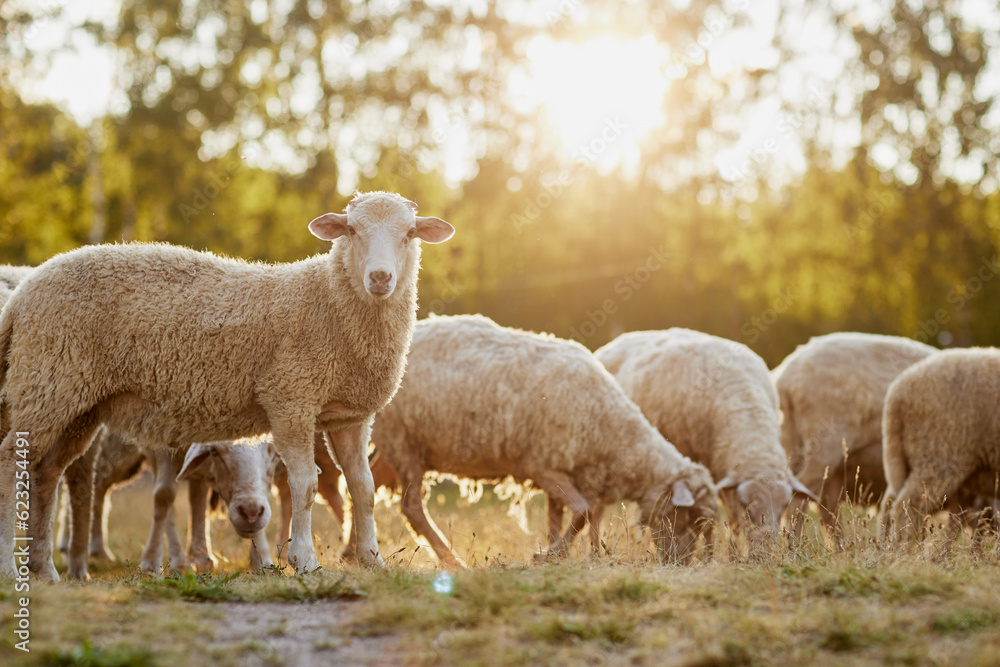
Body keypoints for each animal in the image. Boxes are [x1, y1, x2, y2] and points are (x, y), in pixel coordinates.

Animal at [0, 191, 454, 581]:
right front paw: (305, 561)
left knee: (46, 473)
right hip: (47, 380)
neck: (327, 302)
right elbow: (305, 484)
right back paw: (11, 567)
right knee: (12, 460)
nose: (380, 278)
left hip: (77, 403)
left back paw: (45, 570)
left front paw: (372, 560)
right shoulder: (290, 398)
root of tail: (23, 294)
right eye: (352, 230)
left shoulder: (350, 416)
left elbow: (363, 487)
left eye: (409, 232)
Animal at [371, 315, 718, 567]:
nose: (680, 563)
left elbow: (562, 517)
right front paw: (551, 553)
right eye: (690, 518)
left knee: (370, 486)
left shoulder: (560, 467)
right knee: (412, 508)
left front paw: (558, 551)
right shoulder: (541, 465)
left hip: (394, 448)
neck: (610, 426)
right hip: (403, 439)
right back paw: (451, 560)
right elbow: (582, 512)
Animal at [770, 333, 936, 541]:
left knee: (824, 508)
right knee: (799, 500)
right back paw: (795, 546)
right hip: (824, 445)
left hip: (793, 445)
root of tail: (786, 377)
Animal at [877, 348, 1000, 544]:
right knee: (908, 506)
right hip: (938, 454)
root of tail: (897, 393)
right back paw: (905, 547)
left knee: (889, 506)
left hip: (908, 458)